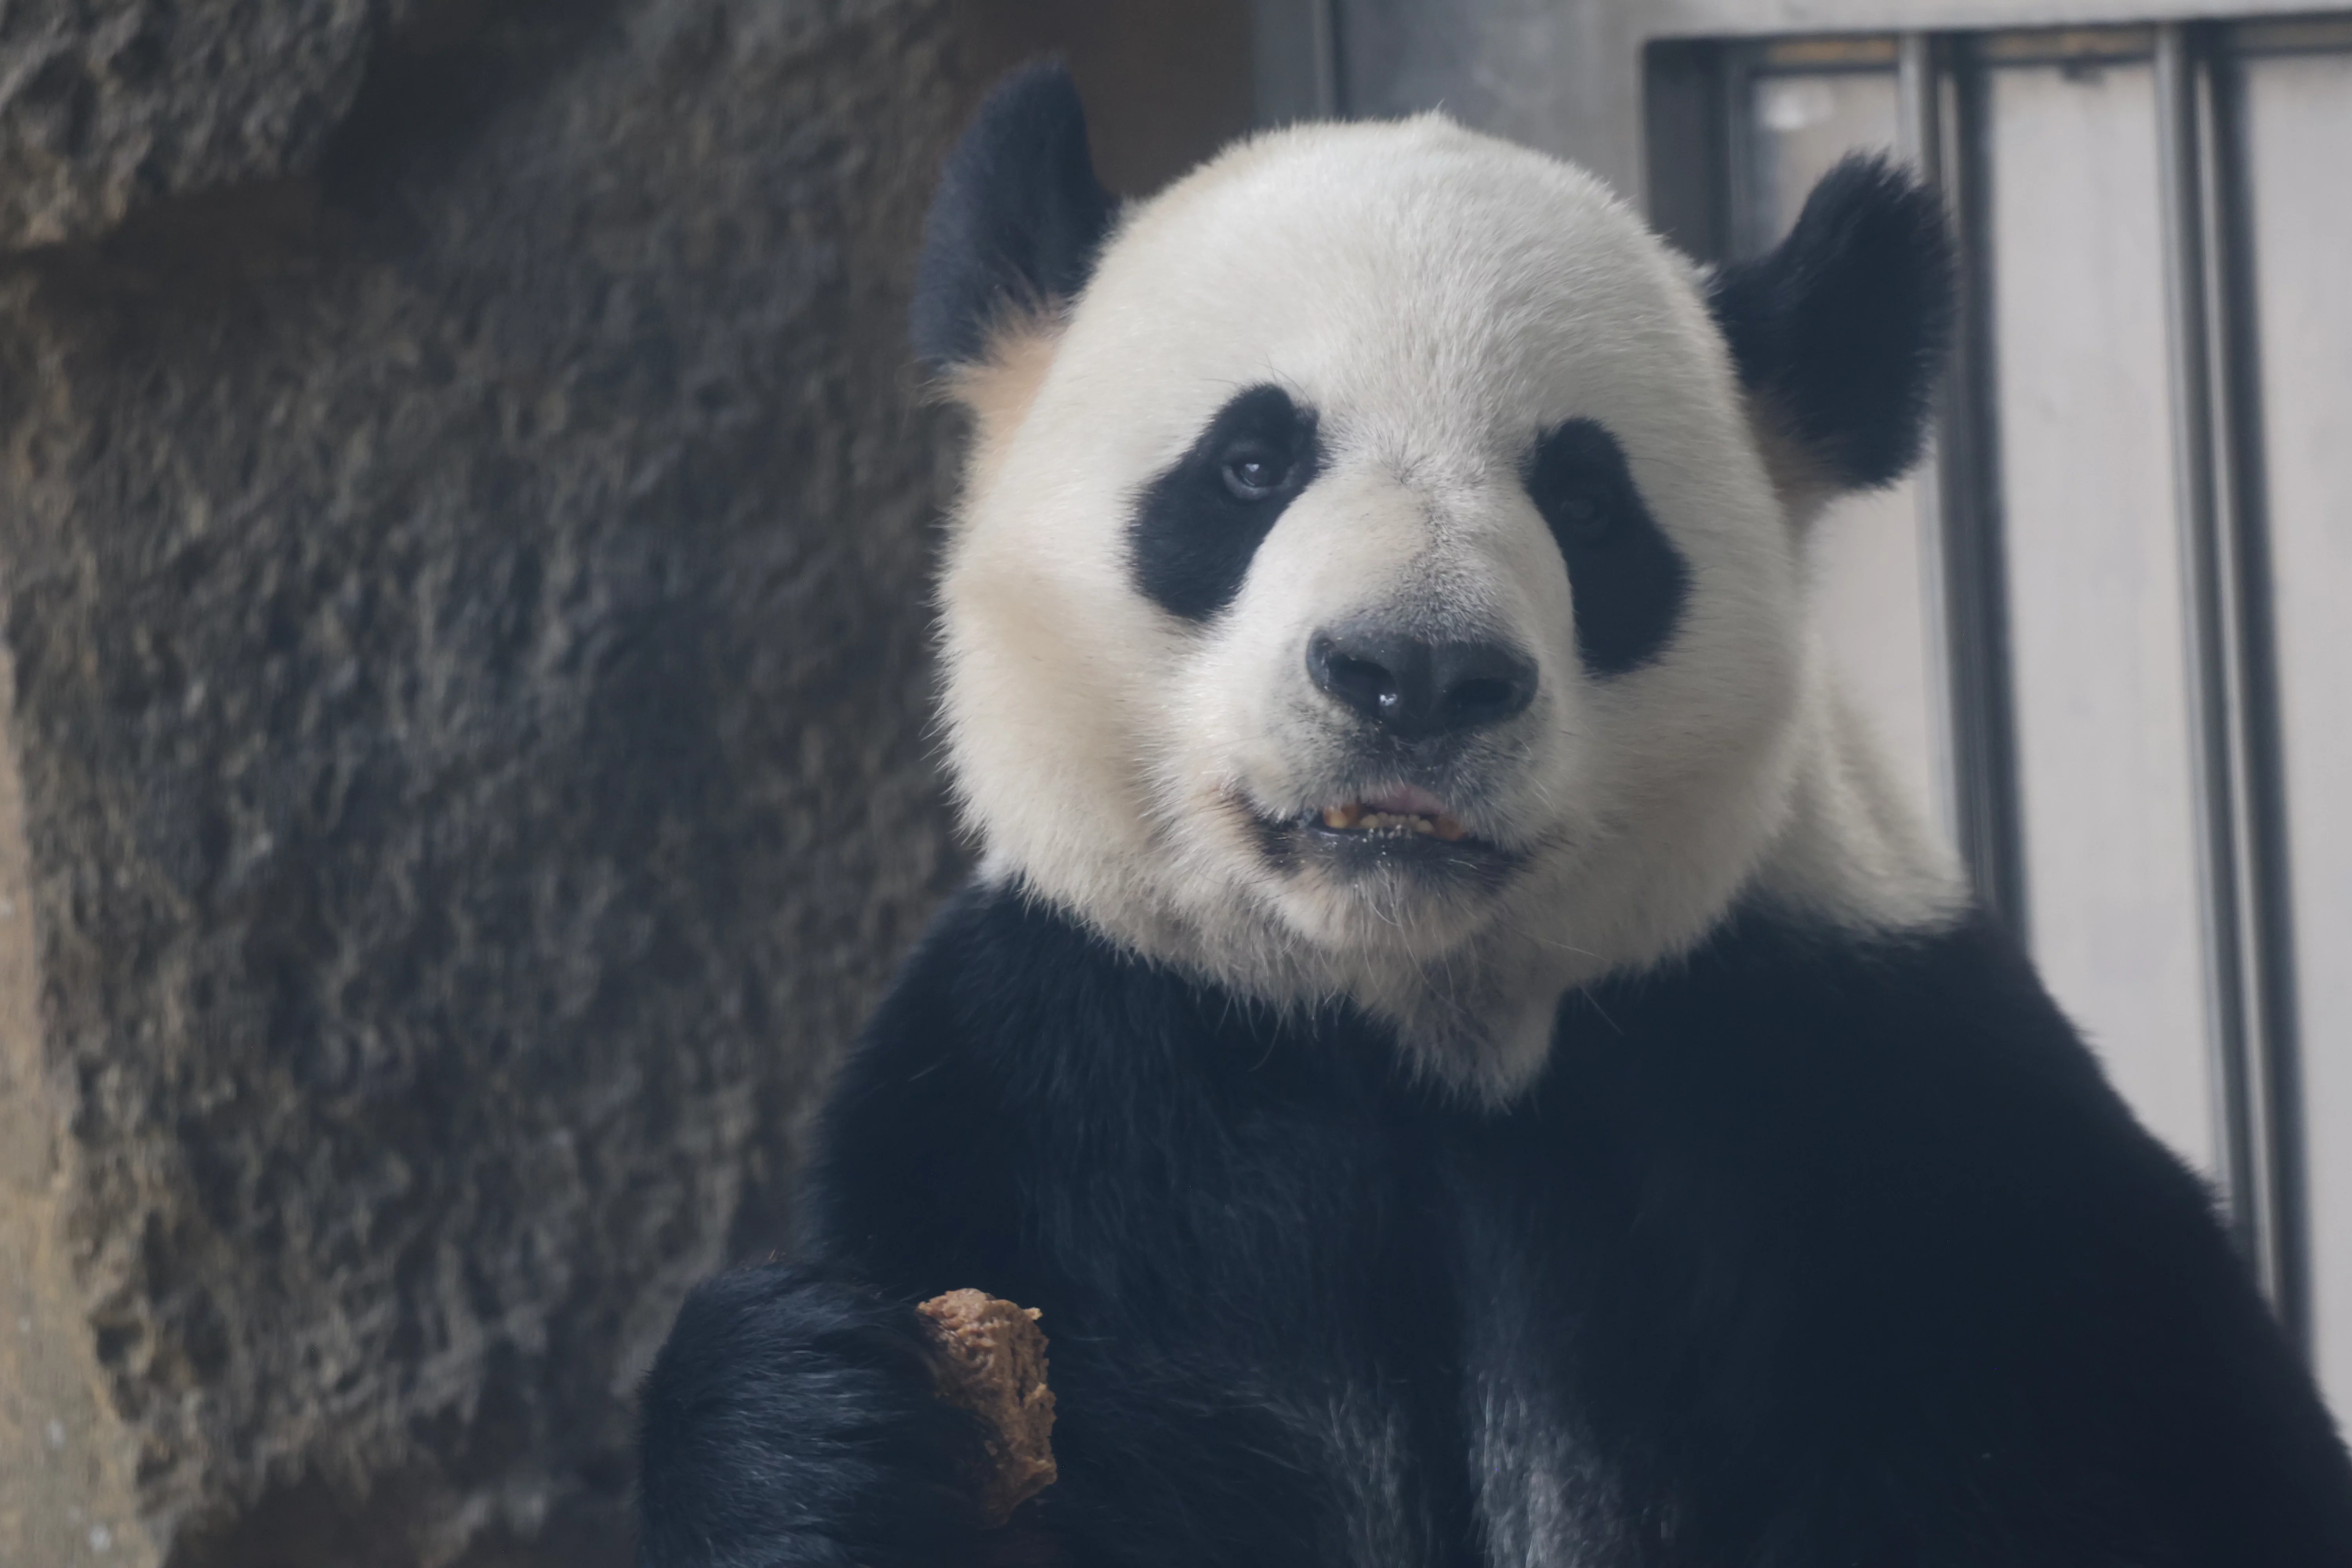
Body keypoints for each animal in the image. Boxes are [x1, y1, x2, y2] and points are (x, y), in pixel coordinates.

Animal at [635, 62, 2352, 1568]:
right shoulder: (1065, 1092)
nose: (1416, 676)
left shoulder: (1871, 1098)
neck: (1420, 1020)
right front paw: (815, 1426)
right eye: (1251, 462)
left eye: (1586, 501)